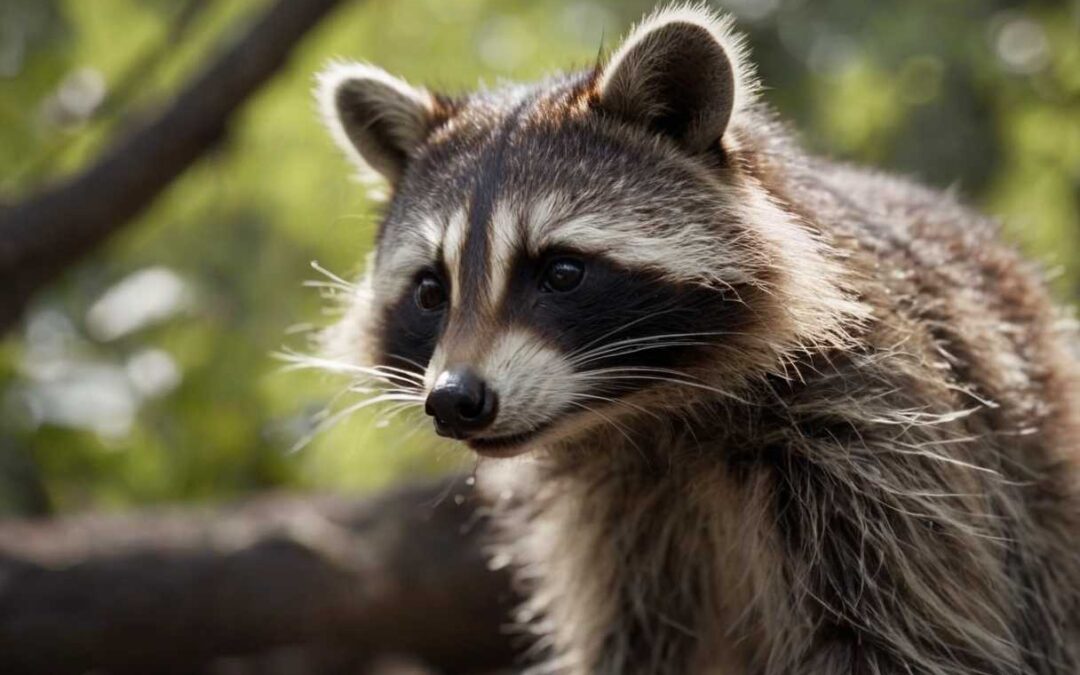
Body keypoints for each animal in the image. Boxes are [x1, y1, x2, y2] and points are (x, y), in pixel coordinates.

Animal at [312, 5, 1080, 674]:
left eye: (562, 271)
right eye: (431, 292)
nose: (454, 399)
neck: (656, 412)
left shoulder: (881, 439)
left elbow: (902, 633)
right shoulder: (610, 525)